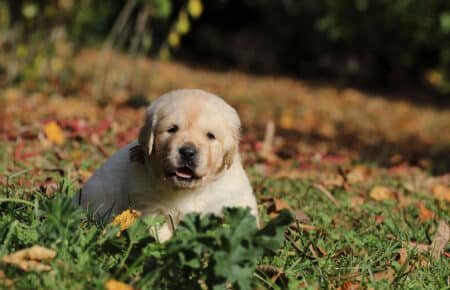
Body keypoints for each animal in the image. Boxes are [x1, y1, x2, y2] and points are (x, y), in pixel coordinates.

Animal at [75, 88, 258, 240]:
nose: (187, 152)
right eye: (172, 129)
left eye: (210, 135)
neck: (188, 191)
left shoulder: (232, 199)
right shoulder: (151, 206)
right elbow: (158, 230)